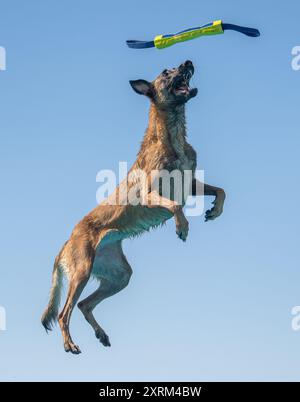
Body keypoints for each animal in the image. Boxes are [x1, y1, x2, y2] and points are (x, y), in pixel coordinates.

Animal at [42, 60, 225, 354]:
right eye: (166, 72)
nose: (187, 61)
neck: (172, 135)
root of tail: (67, 241)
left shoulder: (191, 184)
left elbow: (221, 190)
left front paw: (214, 211)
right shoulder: (149, 194)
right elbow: (175, 206)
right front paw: (182, 227)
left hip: (120, 275)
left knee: (84, 305)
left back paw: (101, 334)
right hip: (81, 272)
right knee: (64, 312)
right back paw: (70, 344)